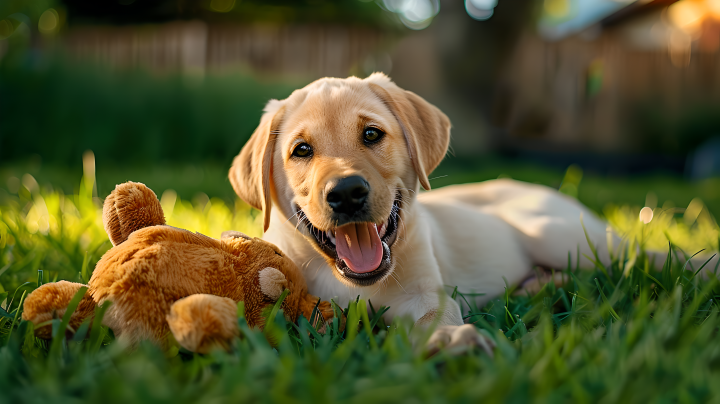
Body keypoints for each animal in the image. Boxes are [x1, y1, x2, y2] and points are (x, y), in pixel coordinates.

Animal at [228, 74, 716, 352]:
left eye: (371, 134)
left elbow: (435, 317)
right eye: (301, 151)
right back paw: (540, 284)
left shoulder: (427, 293)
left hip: (558, 232)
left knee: (643, 257)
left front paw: (448, 341)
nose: (347, 193)